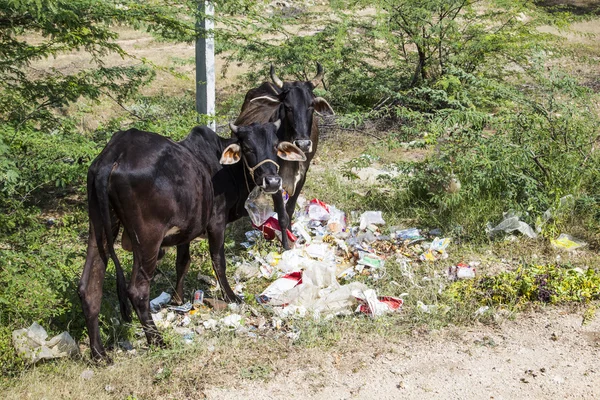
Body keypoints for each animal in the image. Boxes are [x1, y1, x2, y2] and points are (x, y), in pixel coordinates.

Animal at [79, 120, 304, 360]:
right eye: (248, 147)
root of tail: (115, 154)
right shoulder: (216, 221)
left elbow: (183, 262)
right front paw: (231, 296)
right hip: (148, 239)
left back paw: (99, 353)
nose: (272, 181)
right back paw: (157, 340)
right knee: (137, 291)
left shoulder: (185, 231)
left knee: (88, 287)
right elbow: (218, 261)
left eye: (275, 145)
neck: (224, 168)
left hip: (99, 228)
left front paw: (178, 299)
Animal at [234, 62, 336, 247]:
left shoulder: (302, 175)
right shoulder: (275, 177)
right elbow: (282, 215)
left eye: (311, 105)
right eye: (288, 107)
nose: (303, 144)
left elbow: (289, 209)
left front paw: (291, 236)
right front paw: (286, 246)